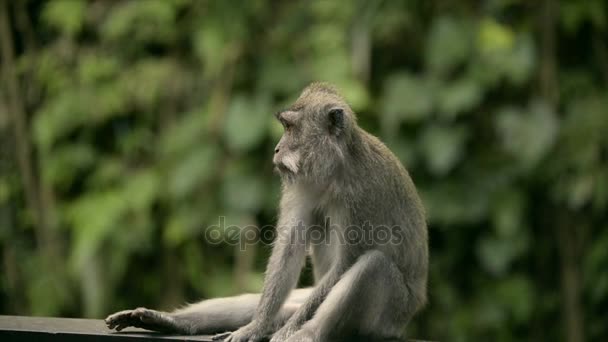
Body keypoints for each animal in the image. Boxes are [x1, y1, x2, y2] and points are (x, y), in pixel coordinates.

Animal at [105, 83, 428, 342]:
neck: (335, 170)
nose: (276, 149)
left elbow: (345, 263)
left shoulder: (361, 196)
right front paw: (257, 326)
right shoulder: (300, 186)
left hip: (390, 315)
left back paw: (303, 334)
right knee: (257, 300)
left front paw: (284, 331)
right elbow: (289, 249)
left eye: (291, 129)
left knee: (373, 266)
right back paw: (175, 322)